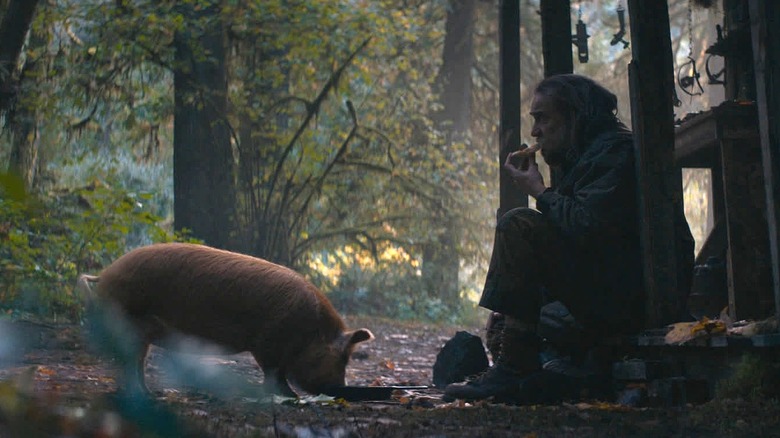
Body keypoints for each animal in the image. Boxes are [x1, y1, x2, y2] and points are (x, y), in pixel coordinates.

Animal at [77, 243, 374, 396]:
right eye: (343, 358)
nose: (340, 389)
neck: (308, 330)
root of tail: (105, 274)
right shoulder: (267, 343)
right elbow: (273, 372)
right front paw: (289, 397)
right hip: (127, 321)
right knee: (130, 361)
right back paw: (141, 393)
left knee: (134, 361)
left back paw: (148, 394)